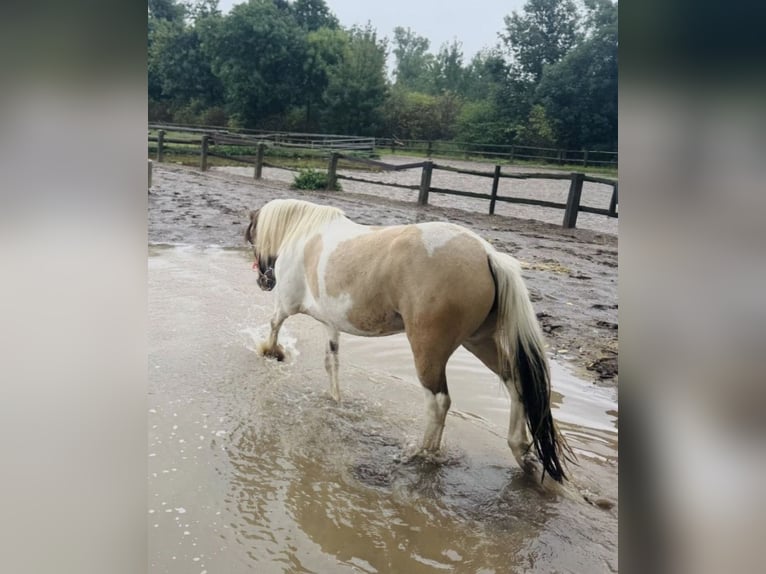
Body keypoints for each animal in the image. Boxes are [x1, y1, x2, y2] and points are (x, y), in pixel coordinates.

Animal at [245, 198, 573, 482]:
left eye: (252, 236)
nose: (262, 281)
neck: (304, 234)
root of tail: (486, 255)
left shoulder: (287, 304)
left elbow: (274, 324)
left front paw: (271, 351)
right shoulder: (331, 323)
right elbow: (332, 361)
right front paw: (335, 399)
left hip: (428, 349)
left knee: (439, 402)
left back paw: (421, 453)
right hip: (479, 341)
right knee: (515, 382)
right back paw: (519, 451)